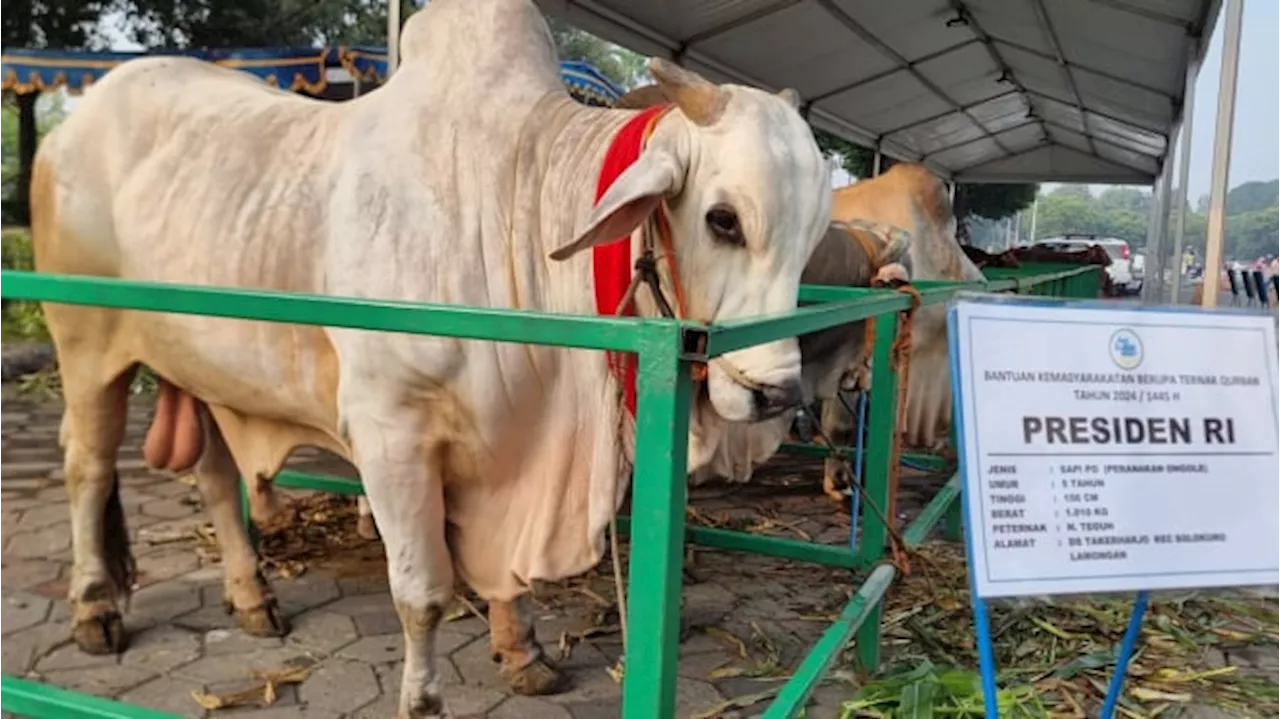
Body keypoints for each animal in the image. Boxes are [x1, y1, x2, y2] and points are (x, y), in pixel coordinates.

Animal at [30, 0, 896, 711]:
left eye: (813, 231)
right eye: (723, 218)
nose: (774, 392)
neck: (515, 203)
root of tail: (70, 125)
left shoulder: (505, 450)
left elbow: (503, 573)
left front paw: (525, 650)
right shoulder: (391, 433)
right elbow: (423, 591)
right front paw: (422, 698)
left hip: (198, 365)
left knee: (213, 474)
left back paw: (252, 596)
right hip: (86, 343)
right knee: (87, 464)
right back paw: (96, 607)